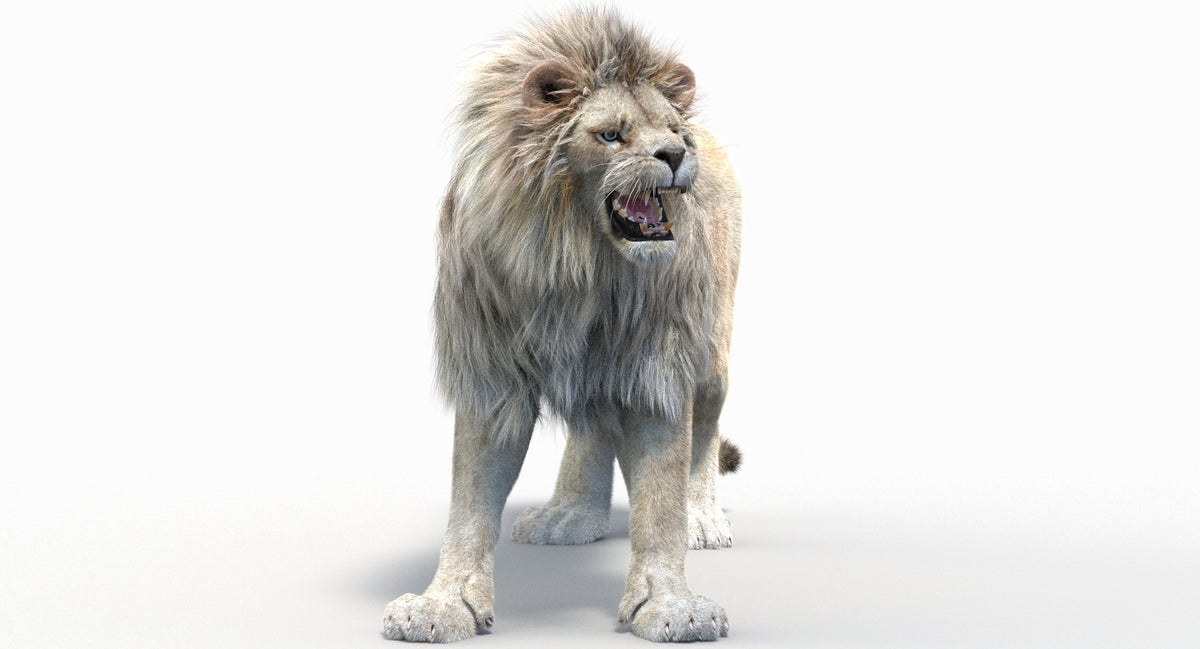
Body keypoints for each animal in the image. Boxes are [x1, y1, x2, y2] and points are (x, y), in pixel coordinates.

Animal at [383, 9, 743, 643]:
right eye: (611, 135)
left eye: (673, 129)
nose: (676, 153)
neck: (576, 265)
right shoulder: (490, 368)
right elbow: (469, 499)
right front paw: (441, 605)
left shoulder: (658, 366)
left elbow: (661, 497)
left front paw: (672, 605)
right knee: (593, 424)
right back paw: (570, 515)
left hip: (712, 357)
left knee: (703, 433)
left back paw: (702, 516)